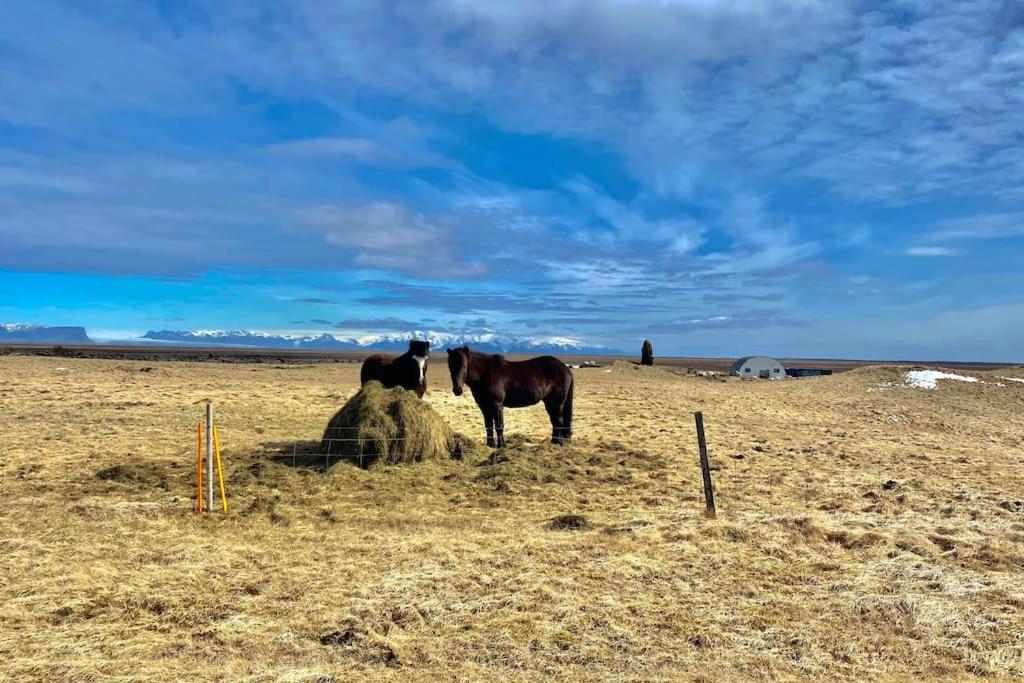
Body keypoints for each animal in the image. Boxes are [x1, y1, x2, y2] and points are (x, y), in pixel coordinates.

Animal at [448, 348, 577, 448]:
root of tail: (565, 368)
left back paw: (559, 443)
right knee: (554, 421)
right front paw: (490, 445)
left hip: (558, 402)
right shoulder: (484, 406)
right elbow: (488, 425)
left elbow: (499, 425)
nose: (457, 390)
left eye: (465, 366)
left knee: (559, 421)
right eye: (450, 366)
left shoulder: (497, 405)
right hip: (549, 402)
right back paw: (554, 442)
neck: (485, 373)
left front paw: (502, 445)